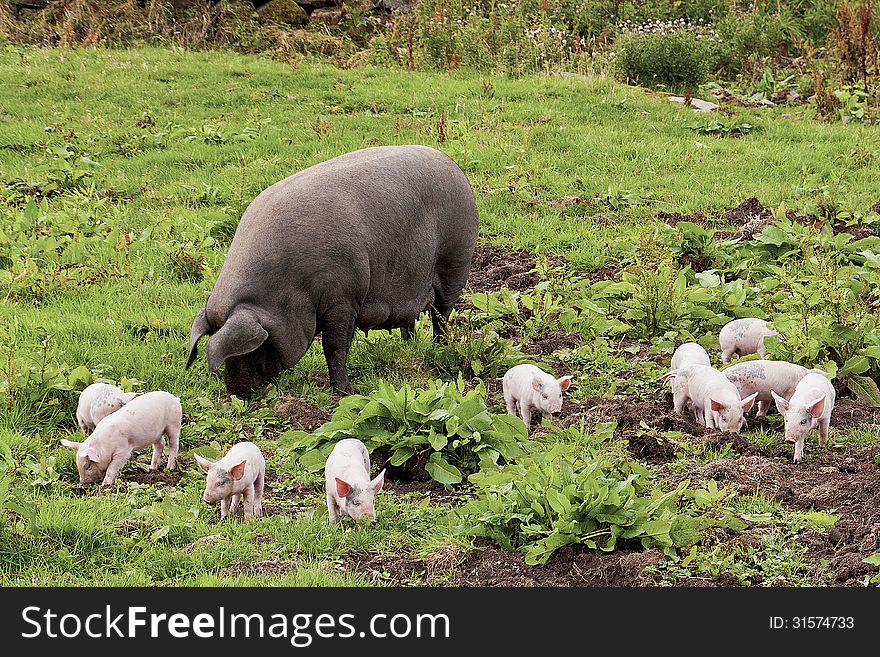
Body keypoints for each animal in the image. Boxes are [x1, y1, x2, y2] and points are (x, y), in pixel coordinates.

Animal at [182, 146, 478, 398]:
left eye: (252, 348)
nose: (235, 395)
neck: (288, 288)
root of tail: (452, 166)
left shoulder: (343, 299)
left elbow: (335, 347)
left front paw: (344, 392)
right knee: (412, 320)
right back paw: (409, 347)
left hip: (455, 262)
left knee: (442, 314)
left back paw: (440, 348)